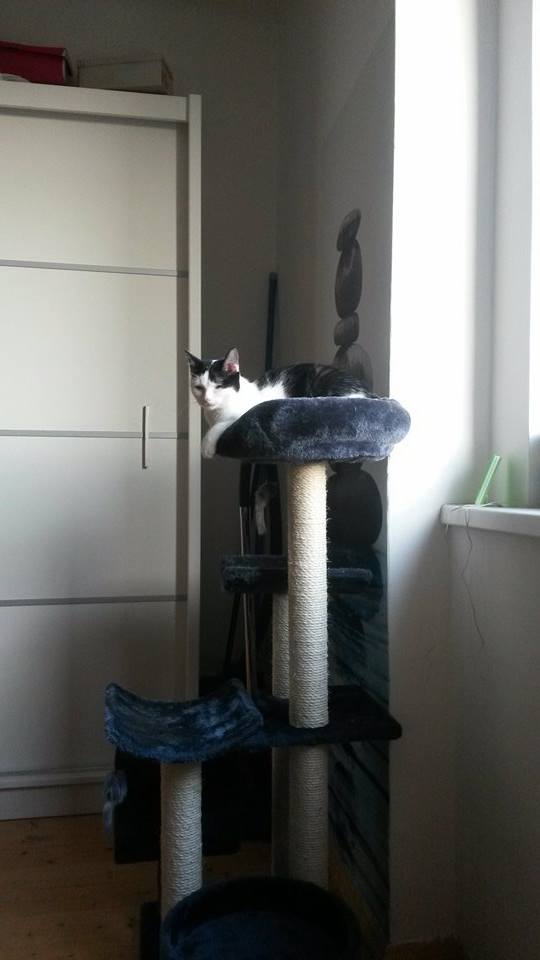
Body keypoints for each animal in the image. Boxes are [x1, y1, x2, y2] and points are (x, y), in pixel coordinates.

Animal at [186, 347, 371, 457]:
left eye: (218, 386)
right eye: (199, 388)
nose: (207, 400)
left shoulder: (243, 414)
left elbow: (220, 425)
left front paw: (206, 445)